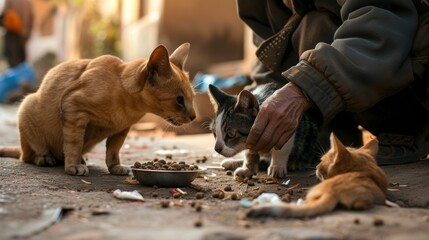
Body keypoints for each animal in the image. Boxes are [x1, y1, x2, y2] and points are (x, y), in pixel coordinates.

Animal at [0, 42, 196, 176]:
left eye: (192, 98)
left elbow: (113, 151)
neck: (130, 109)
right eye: (179, 99)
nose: (194, 117)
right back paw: (46, 158)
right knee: (28, 155)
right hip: (27, 107)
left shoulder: (121, 130)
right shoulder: (74, 108)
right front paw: (73, 167)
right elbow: (74, 143)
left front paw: (115, 168)